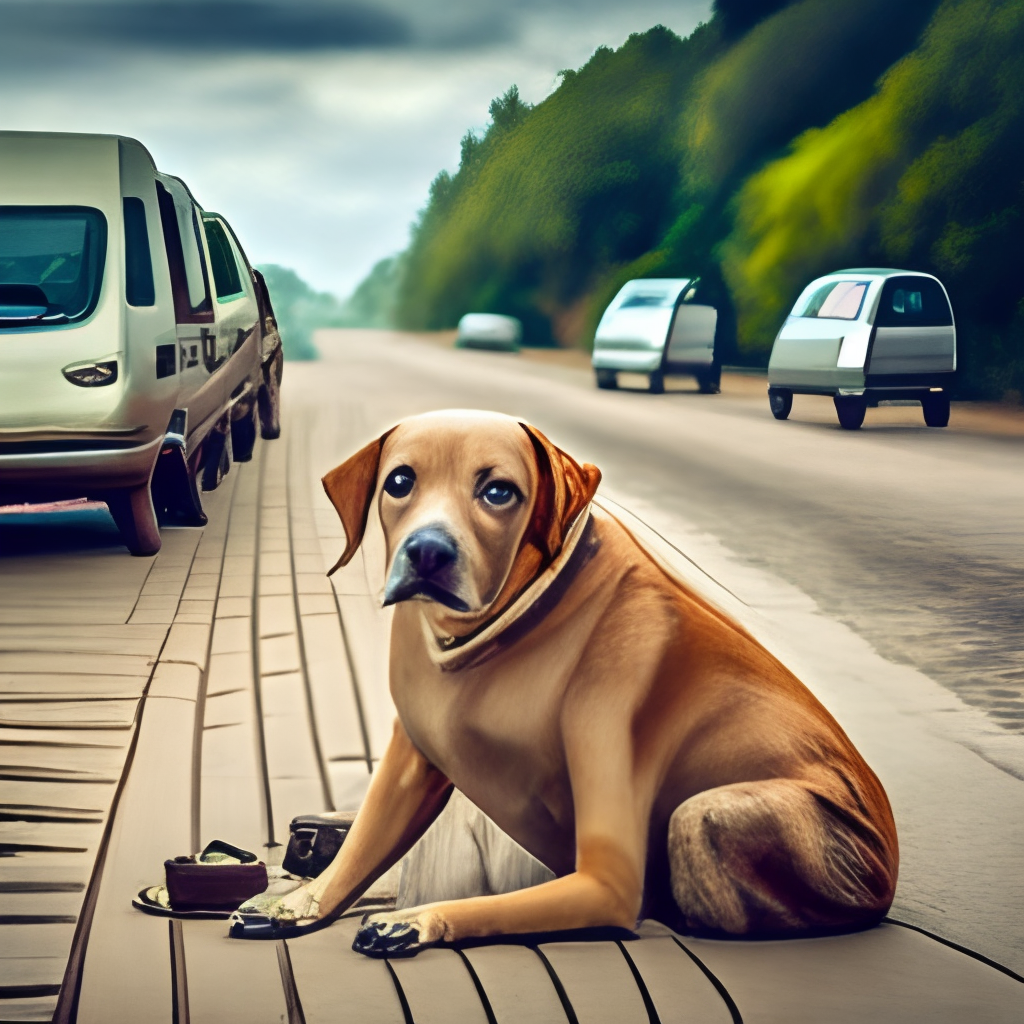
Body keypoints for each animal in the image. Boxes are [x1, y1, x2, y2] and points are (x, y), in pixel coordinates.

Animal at [251, 407, 892, 950]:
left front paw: (417, 918)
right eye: (400, 482)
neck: (502, 628)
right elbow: (366, 842)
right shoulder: (411, 757)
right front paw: (302, 901)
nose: (428, 552)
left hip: (721, 823)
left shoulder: (608, 864)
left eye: (499, 491)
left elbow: (563, 893)